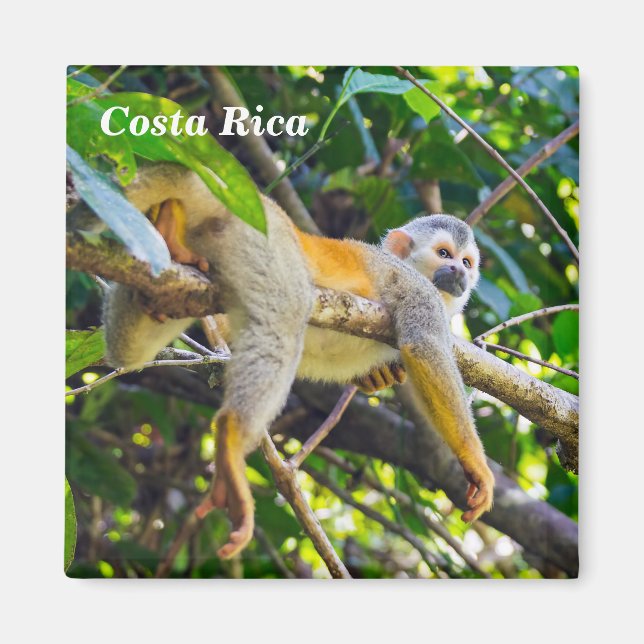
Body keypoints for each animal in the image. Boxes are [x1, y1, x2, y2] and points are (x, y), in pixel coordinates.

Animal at [101, 162, 493, 560]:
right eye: (444, 254)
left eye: (466, 262)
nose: (460, 272)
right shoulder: (417, 288)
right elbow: (423, 345)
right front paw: (475, 462)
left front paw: (378, 376)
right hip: (266, 239)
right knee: (286, 315)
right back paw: (231, 434)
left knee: (131, 350)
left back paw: (168, 229)